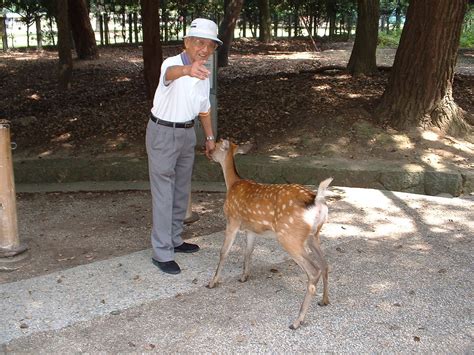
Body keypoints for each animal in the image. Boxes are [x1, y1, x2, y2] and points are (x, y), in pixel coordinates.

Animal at [207, 139, 334, 330]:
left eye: (215, 145)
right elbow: (248, 252)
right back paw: (324, 301)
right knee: (325, 264)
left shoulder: (232, 220)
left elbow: (223, 252)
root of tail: (317, 200)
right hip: (314, 235)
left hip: (289, 236)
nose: (206, 151)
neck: (232, 183)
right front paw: (244, 277)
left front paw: (212, 282)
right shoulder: (251, 230)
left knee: (314, 270)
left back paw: (297, 321)